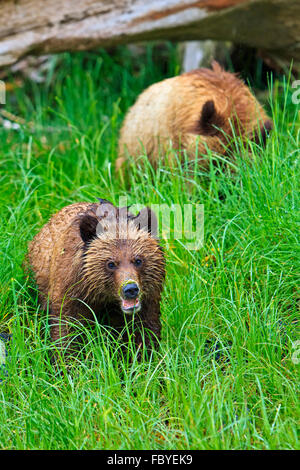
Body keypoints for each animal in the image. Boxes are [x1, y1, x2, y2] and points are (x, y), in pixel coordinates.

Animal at [27, 198, 165, 356]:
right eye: (111, 263)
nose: (130, 289)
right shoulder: (72, 292)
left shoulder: (148, 300)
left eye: (138, 260)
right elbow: (67, 329)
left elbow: (143, 332)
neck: (104, 296)